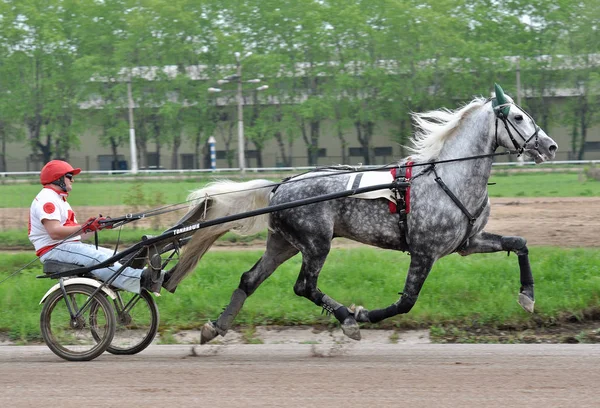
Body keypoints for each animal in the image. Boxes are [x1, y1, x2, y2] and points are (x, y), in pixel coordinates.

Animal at [164, 84, 556, 342]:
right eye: (518, 116)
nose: (550, 146)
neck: (448, 177)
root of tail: (281, 187)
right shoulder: (424, 251)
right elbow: (406, 302)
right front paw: (362, 314)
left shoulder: (468, 242)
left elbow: (519, 243)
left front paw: (528, 297)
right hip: (316, 244)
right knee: (304, 285)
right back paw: (345, 319)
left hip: (284, 243)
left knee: (250, 279)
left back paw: (215, 327)